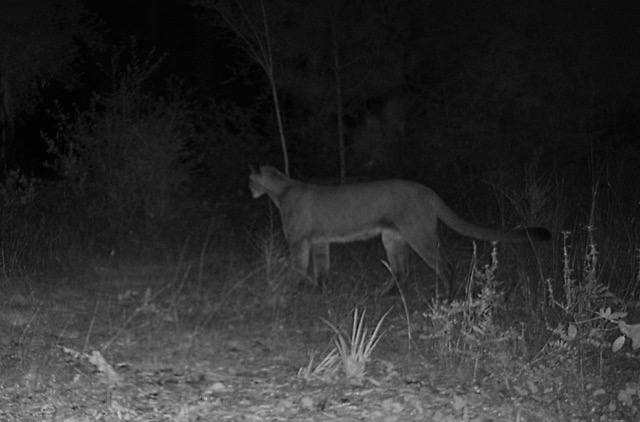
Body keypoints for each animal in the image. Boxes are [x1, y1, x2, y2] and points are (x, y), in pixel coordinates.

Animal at [250, 166, 552, 296]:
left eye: (250, 178)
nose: (249, 189)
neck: (281, 191)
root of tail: (429, 192)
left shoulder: (298, 240)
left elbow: (299, 267)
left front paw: (295, 289)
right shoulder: (318, 242)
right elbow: (321, 268)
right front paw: (317, 290)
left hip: (419, 235)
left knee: (445, 265)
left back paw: (446, 297)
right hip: (393, 237)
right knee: (401, 270)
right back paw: (388, 293)